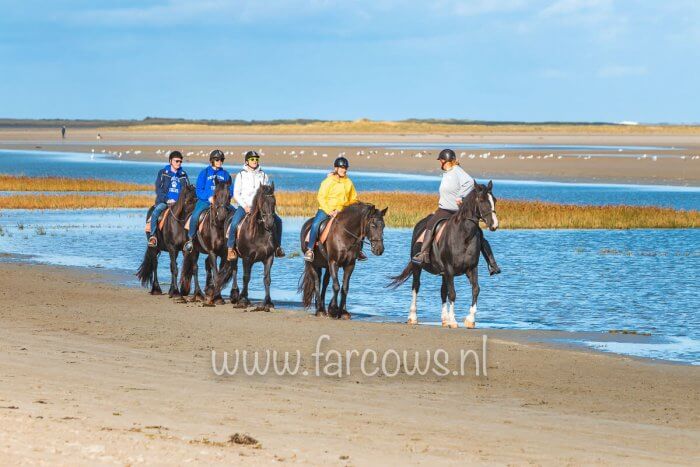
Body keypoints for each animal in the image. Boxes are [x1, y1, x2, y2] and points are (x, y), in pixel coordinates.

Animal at [179, 179, 231, 308]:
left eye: (229, 196)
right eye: (215, 195)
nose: (222, 215)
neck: (218, 227)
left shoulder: (223, 254)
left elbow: (220, 274)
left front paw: (216, 297)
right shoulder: (212, 252)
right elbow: (216, 274)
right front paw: (216, 297)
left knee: (206, 265)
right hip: (193, 250)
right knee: (194, 268)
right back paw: (198, 294)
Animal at [388, 182, 498, 330]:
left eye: (494, 201)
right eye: (481, 201)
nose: (494, 225)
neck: (464, 236)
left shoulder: (471, 268)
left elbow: (475, 290)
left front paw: (470, 319)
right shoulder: (450, 269)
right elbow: (452, 294)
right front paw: (453, 321)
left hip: (443, 273)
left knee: (442, 291)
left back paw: (444, 319)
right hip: (418, 267)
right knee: (416, 287)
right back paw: (413, 317)